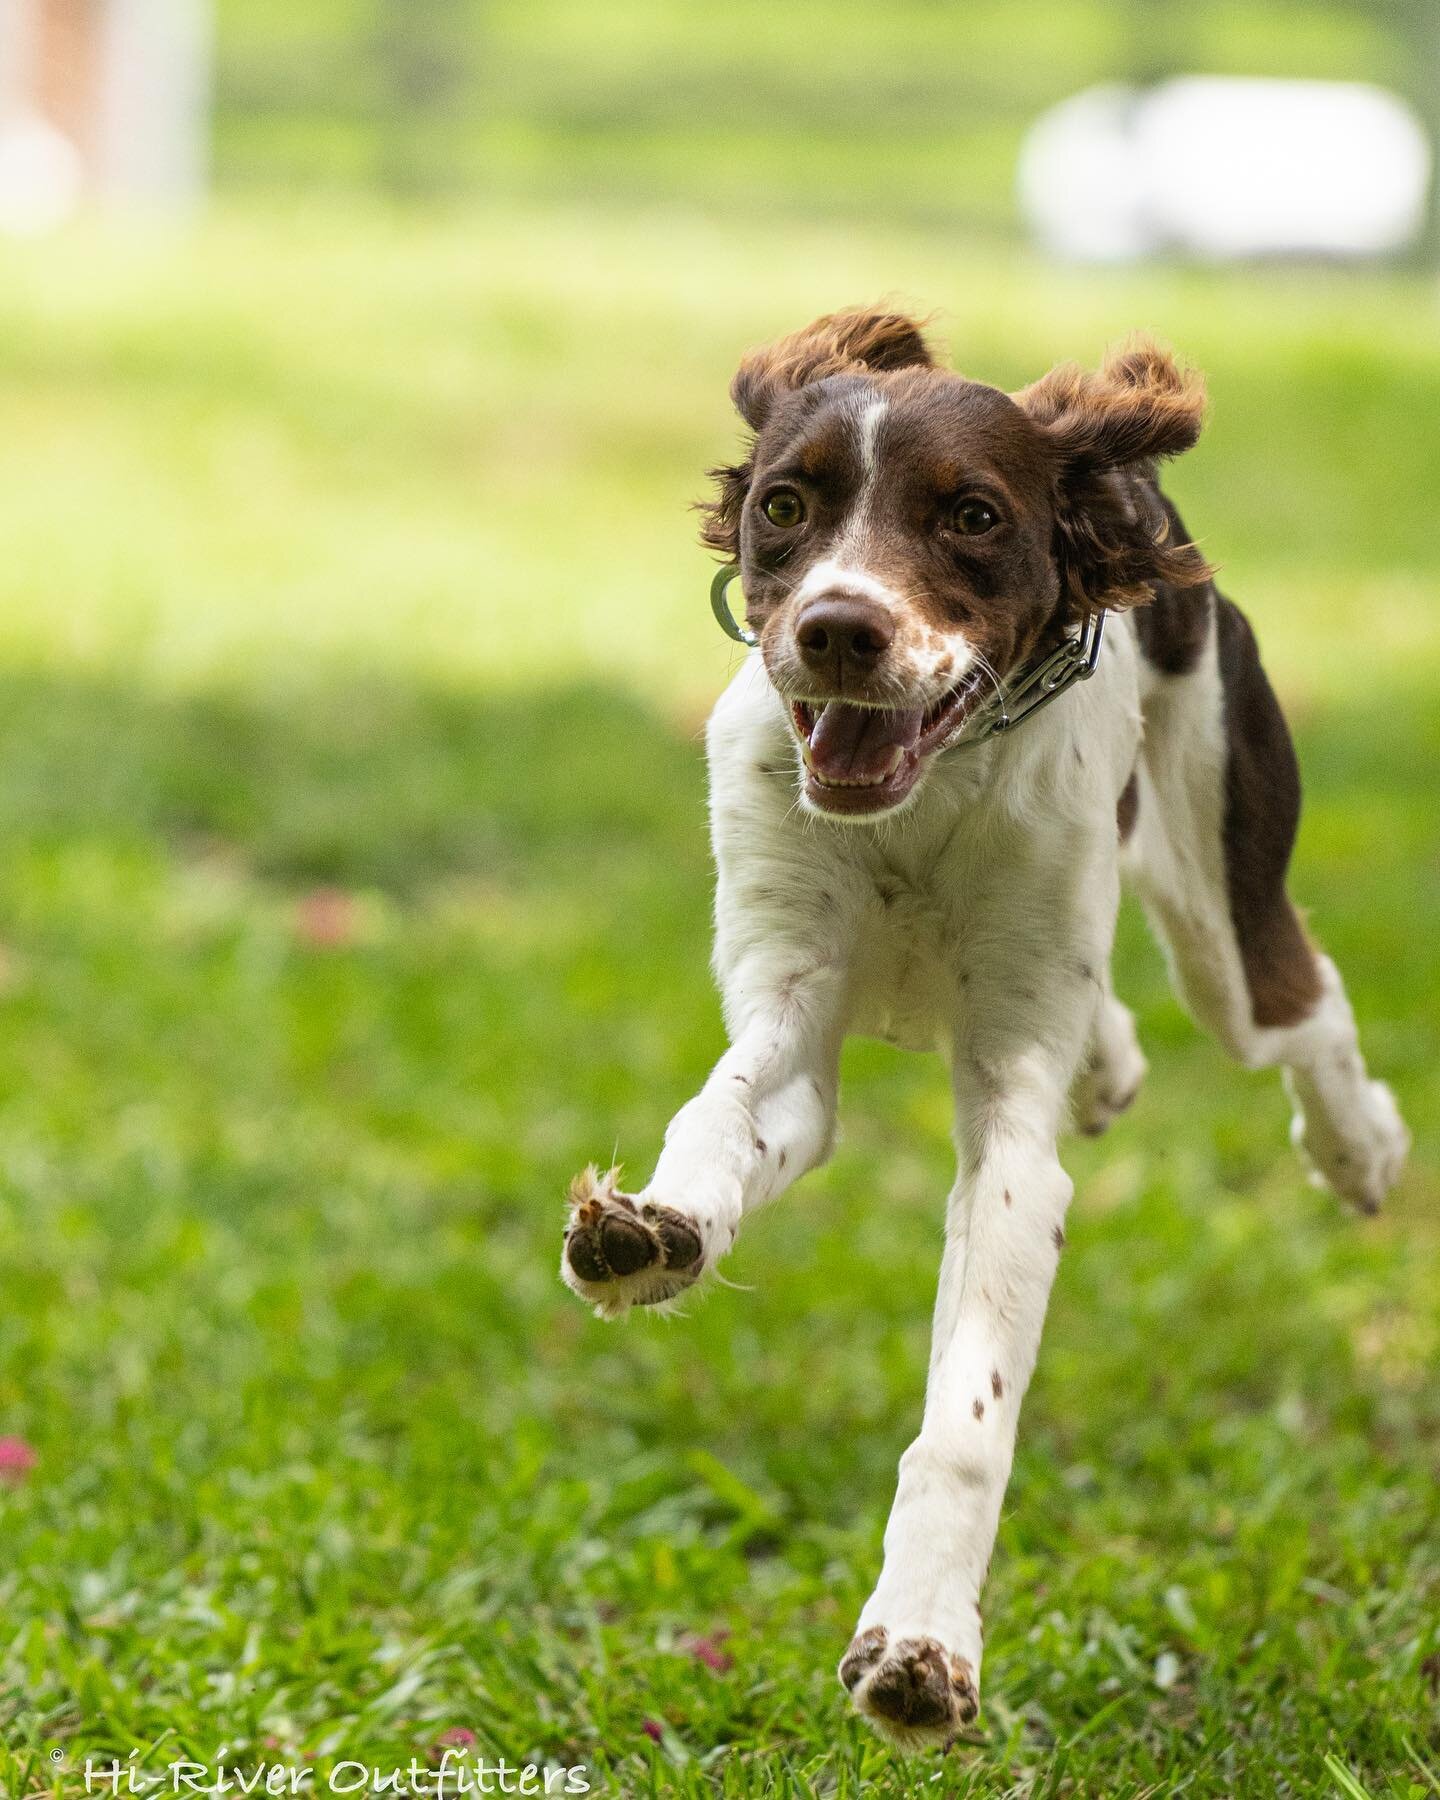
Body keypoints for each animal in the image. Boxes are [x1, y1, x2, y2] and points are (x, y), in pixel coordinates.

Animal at [558, 316, 1404, 1749]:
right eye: (784, 506)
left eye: (971, 516)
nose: (837, 631)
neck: (924, 799)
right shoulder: (791, 1006)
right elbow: (725, 1113)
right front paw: (652, 1231)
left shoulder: (1011, 1110)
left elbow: (968, 1406)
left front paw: (919, 1646)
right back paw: (1117, 1070)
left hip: (1218, 874)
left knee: (1294, 1000)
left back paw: (1360, 1149)